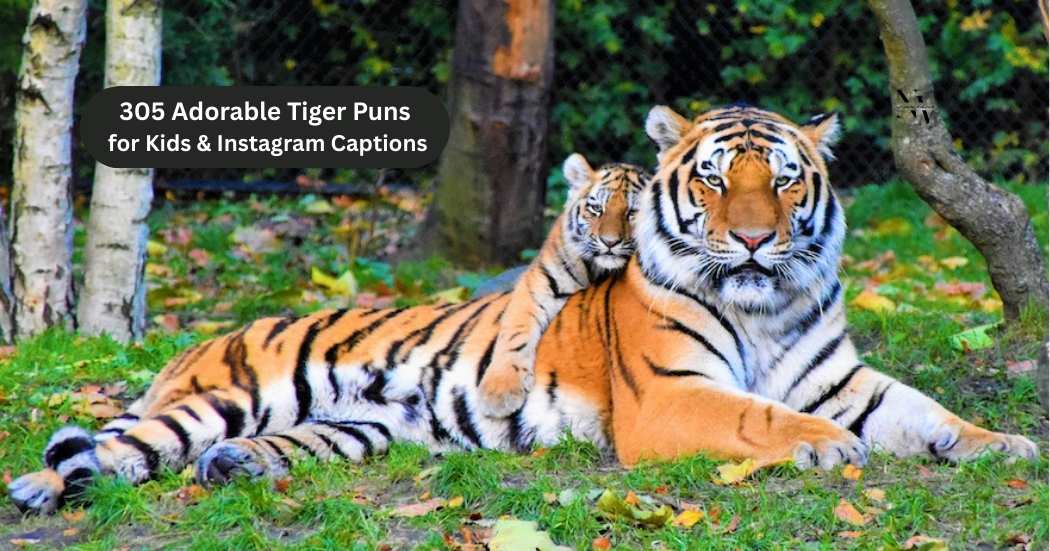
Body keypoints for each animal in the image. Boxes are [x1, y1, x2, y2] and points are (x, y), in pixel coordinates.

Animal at [476, 154, 646, 417]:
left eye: (632, 212)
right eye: (596, 208)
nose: (609, 242)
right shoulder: (538, 284)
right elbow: (515, 331)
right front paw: (499, 392)